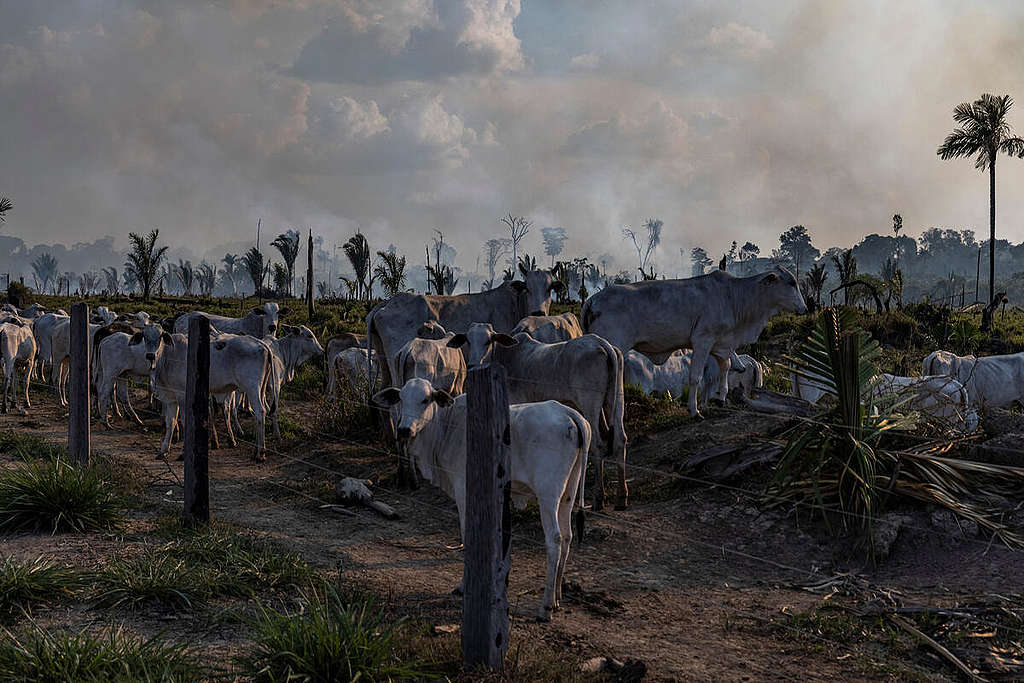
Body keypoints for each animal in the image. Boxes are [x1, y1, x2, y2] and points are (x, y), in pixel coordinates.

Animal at [376, 378, 589, 626]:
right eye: (401, 398)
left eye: (425, 399)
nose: (403, 430)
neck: (447, 426)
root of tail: (568, 413)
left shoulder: (464, 488)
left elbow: (467, 534)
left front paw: (464, 586)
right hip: (568, 493)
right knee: (567, 536)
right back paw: (556, 597)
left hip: (548, 494)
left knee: (554, 540)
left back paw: (545, 607)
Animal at [450, 327, 626, 511]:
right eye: (468, 340)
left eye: (488, 341)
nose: (472, 365)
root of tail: (602, 343)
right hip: (616, 400)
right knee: (620, 439)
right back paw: (621, 498)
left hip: (590, 404)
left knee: (598, 445)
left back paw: (599, 497)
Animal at [581, 266, 802, 417]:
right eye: (792, 283)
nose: (804, 308)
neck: (733, 296)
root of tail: (593, 299)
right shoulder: (703, 340)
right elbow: (695, 376)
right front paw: (694, 411)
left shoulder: (721, 343)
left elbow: (725, 366)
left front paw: (721, 398)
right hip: (612, 347)